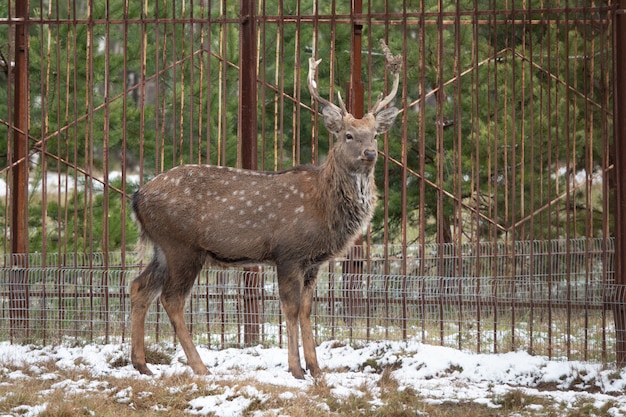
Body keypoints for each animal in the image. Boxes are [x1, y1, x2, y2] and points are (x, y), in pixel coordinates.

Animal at [130, 40, 400, 378]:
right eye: (348, 135)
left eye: (376, 134)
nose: (370, 153)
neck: (324, 207)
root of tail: (137, 196)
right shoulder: (288, 253)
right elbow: (291, 308)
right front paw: (296, 369)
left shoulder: (314, 262)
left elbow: (308, 310)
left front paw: (316, 369)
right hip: (182, 246)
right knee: (172, 299)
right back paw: (200, 367)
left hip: (162, 248)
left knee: (139, 287)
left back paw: (141, 365)